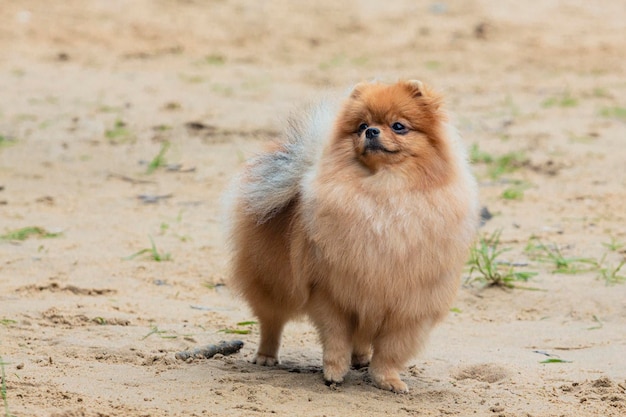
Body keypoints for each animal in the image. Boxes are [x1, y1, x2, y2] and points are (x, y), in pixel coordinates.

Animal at [224, 79, 478, 392]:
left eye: (398, 126)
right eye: (361, 126)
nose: (371, 131)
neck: (385, 195)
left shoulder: (408, 306)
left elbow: (390, 350)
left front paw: (387, 380)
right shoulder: (331, 293)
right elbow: (335, 339)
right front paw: (333, 373)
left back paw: (361, 359)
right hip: (272, 282)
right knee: (271, 321)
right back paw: (266, 356)